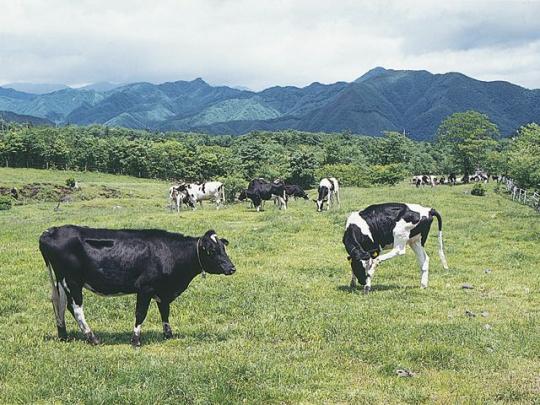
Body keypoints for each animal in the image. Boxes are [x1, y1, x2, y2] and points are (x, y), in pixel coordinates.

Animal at [39, 226, 237, 346]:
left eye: (223, 248)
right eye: (211, 251)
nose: (231, 268)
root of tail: (51, 231)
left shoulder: (162, 290)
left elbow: (165, 312)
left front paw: (168, 334)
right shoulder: (145, 288)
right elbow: (141, 313)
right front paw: (135, 340)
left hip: (61, 281)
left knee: (60, 305)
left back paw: (63, 335)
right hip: (72, 281)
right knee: (76, 308)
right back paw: (92, 338)